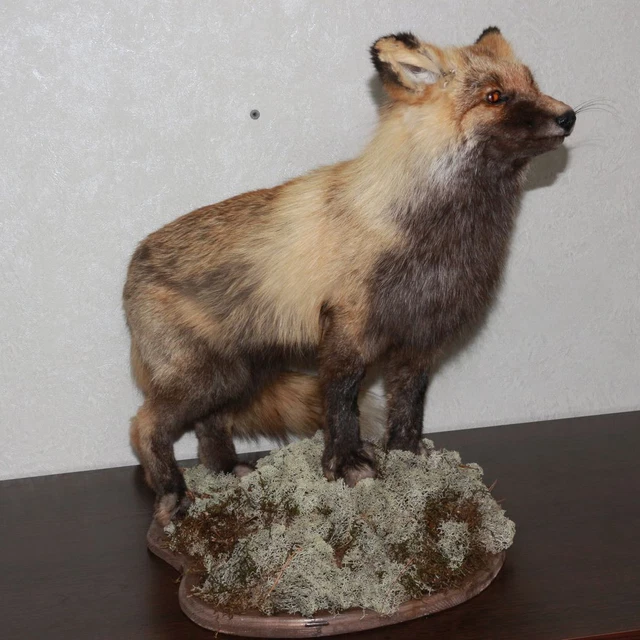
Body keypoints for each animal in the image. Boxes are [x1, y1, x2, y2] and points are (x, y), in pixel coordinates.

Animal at [124, 27, 576, 525]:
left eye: (532, 84)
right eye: (495, 96)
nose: (568, 116)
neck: (440, 238)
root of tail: (133, 264)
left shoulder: (420, 342)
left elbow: (409, 408)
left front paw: (408, 459)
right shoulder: (349, 333)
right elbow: (341, 405)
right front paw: (347, 465)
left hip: (235, 379)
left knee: (209, 427)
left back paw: (226, 470)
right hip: (206, 379)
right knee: (144, 425)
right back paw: (172, 495)